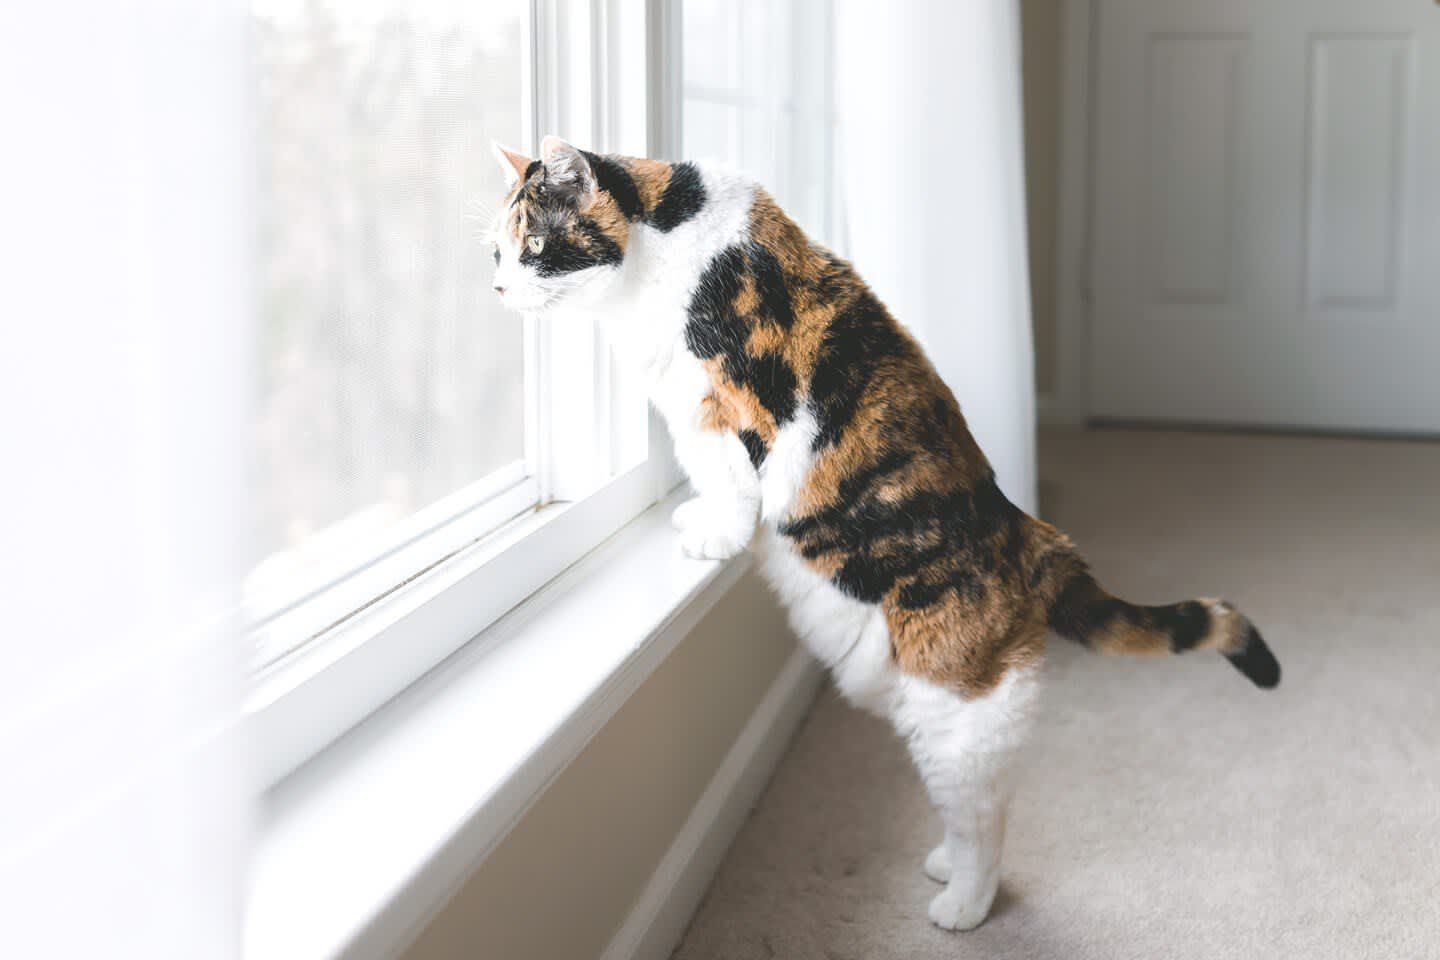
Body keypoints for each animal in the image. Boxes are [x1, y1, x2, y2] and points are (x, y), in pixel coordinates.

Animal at [489, 135, 1278, 932]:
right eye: (496, 250)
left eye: (533, 245)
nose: (496, 288)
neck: (665, 246)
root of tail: (1031, 538)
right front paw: (697, 517)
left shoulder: (724, 399)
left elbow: (728, 476)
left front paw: (715, 534)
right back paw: (944, 866)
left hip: (956, 712)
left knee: (985, 816)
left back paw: (964, 904)